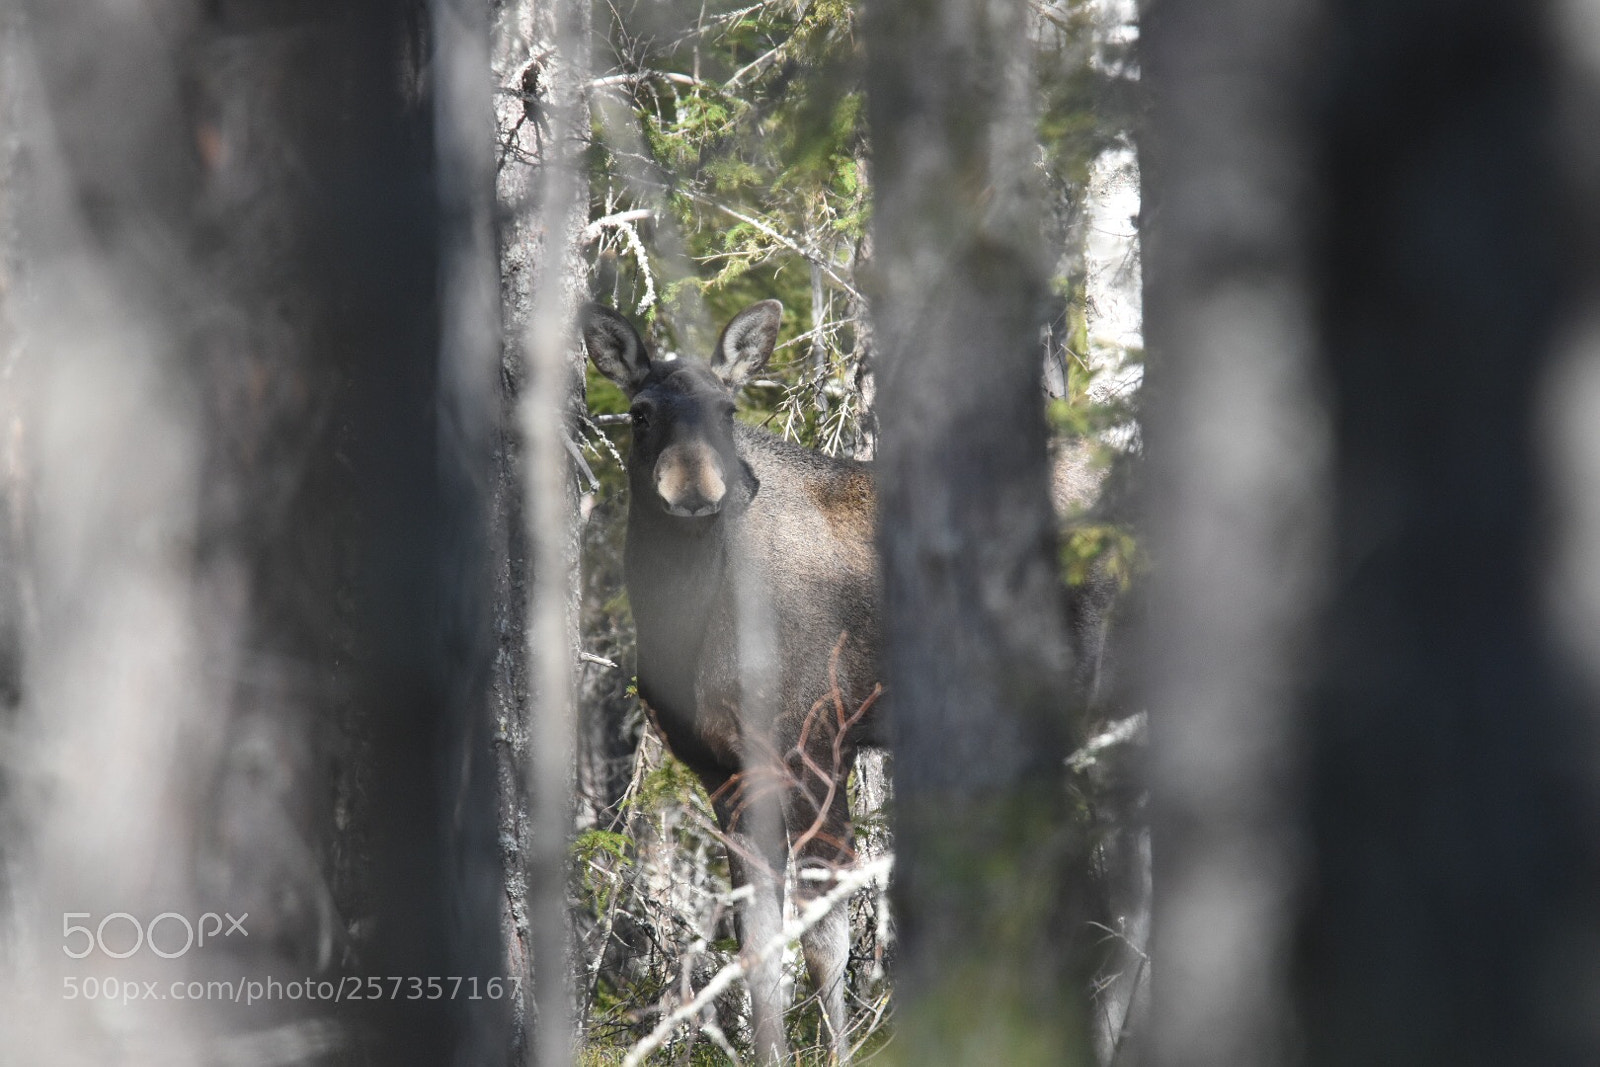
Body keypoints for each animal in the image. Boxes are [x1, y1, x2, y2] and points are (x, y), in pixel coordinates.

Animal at [583, 300, 884, 1064]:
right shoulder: (723, 771)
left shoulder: (817, 750)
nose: (694, 491)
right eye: (640, 411)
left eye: (727, 408)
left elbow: (824, 947)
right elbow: (757, 954)